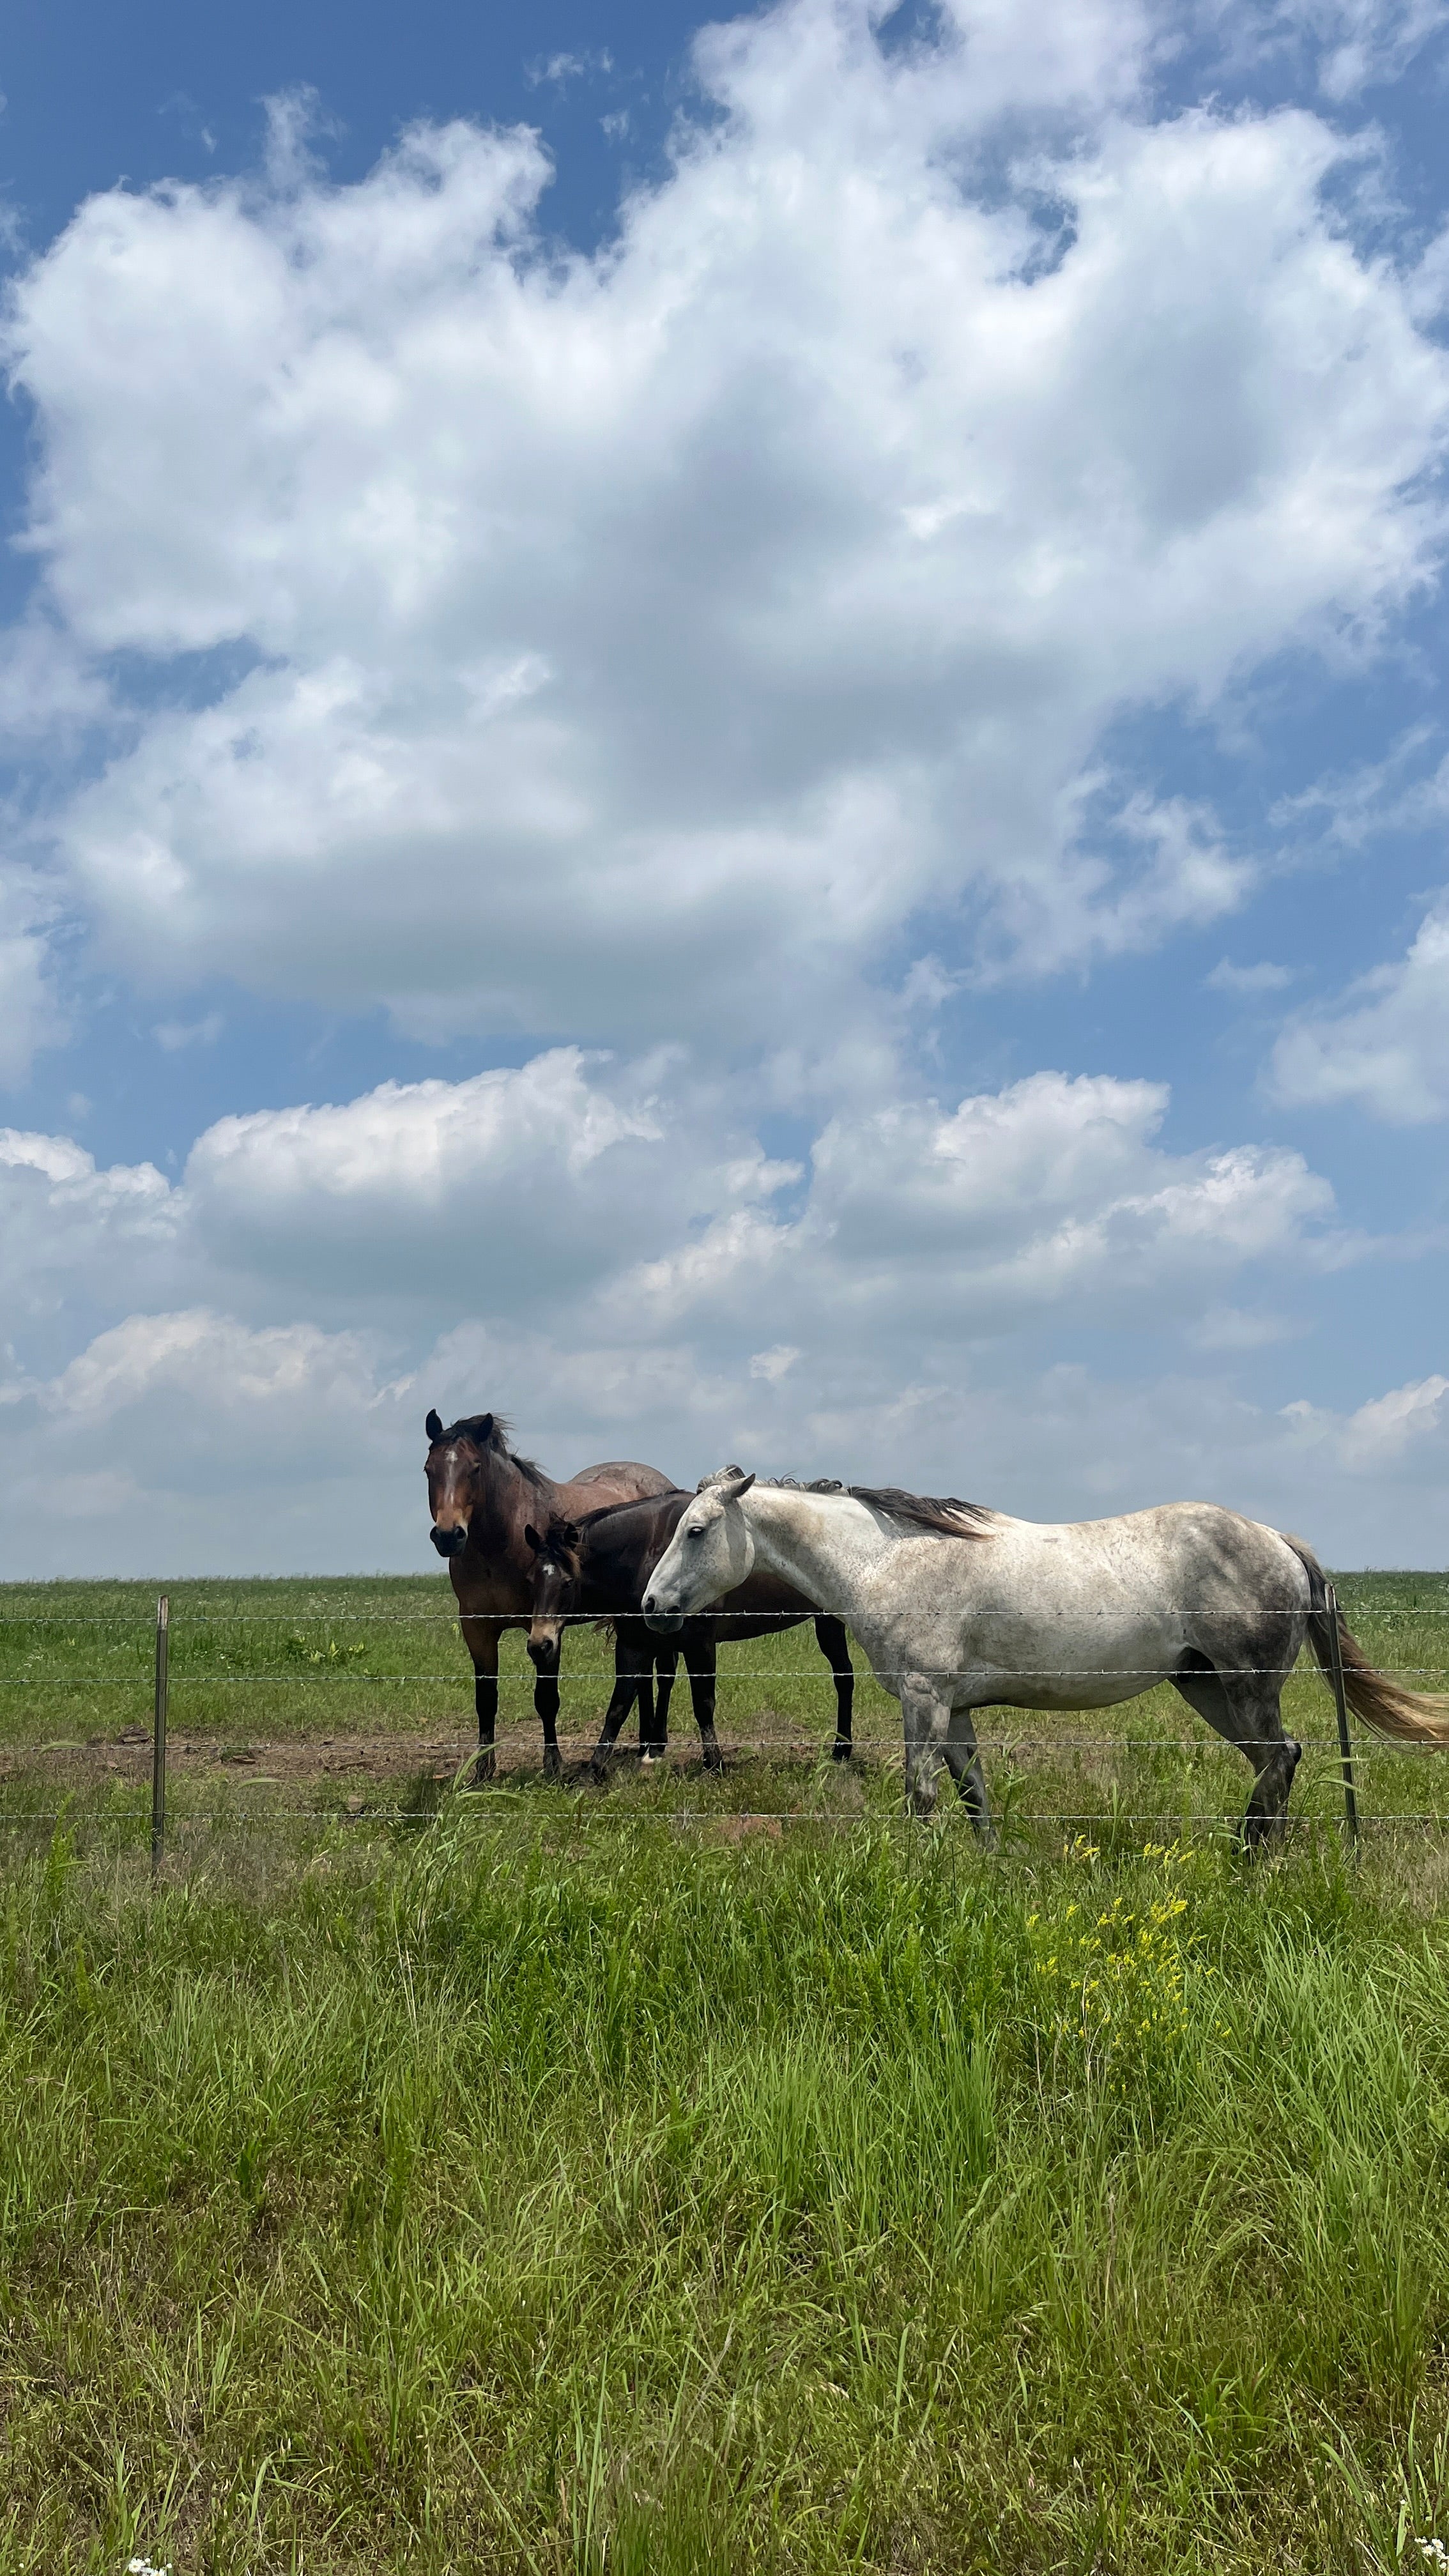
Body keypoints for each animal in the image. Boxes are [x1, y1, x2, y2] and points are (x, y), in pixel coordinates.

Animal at [417, 1411, 665, 1772]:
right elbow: (486, 1699)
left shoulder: (546, 1629)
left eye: (475, 1468)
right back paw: (644, 1745)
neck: (499, 1544)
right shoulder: (477, 1628)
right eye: (429, 1469)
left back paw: (653, 1747)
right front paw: (483, 1769)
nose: (449, 1536)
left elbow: (546, 1698)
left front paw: (553, 1763)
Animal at [521, 1494, 850, 1772]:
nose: (540, 1644)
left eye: (567, 1582)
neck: (648, 1553)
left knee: (844, 1677)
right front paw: (595, 1769)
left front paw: (714, 1764)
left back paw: (841, 1751)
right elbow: (619, 1706)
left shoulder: (698, 1644)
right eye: (530, 1580)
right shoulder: (633, 1644)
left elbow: (703, 1704)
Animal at [641, 1473, 1443, 1855]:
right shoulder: (955, 1710)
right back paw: (1256, 1855)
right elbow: (973, 1797)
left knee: (1277, 1760)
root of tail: (1278, 1539)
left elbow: (920, 1797)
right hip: (1207, 1691)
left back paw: (1246, 1864)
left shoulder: (924, 1700)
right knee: (1279, 1762)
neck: (889, 1560)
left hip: (1244, 1690)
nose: (650, 1604)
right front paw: (989, 1870)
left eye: (697, 1530)